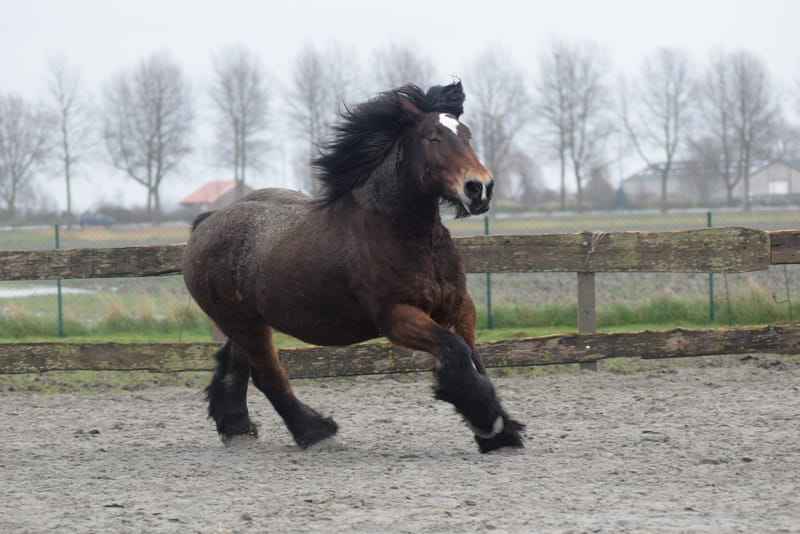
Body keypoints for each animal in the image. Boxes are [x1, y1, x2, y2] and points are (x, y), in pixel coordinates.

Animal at [182, 81, 524, 453]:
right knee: (268, 375)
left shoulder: (459, 307)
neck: (401, 231)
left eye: (467, 134)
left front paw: (503, 432)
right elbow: (456, 353)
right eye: (432, 137)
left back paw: (237, 428)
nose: (480, 188)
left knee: (234, 363)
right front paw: (489, 425)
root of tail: (205, 223)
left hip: (247, 322)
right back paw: (316, 432)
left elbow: (475, 360)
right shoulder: (397, 315)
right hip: (244, 324)